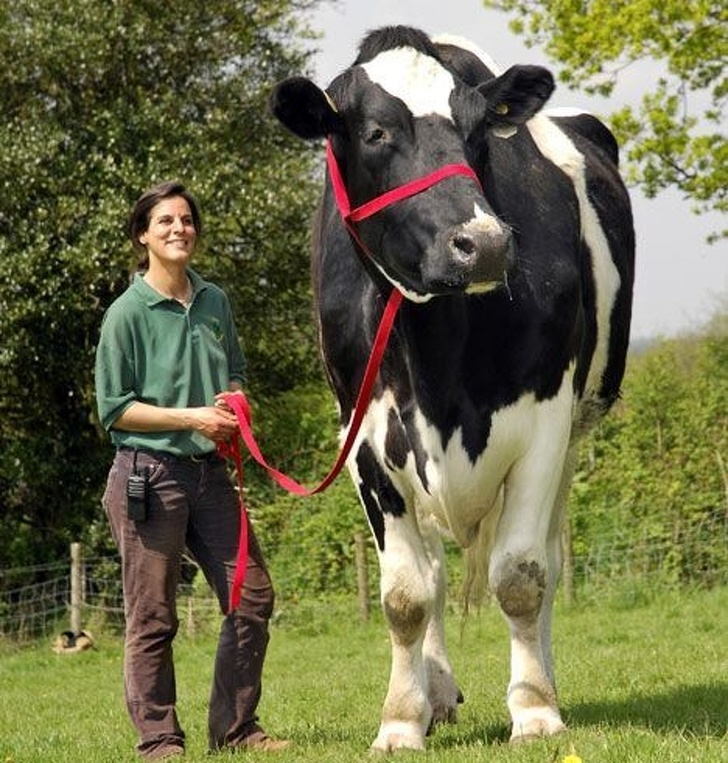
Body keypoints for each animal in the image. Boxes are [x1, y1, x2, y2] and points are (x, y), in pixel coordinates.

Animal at [270, 25, 636, 752]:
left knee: (546, 558)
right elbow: (406, 595)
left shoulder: (546, 419)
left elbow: (522, 575)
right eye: (376, 133)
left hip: (575, 434)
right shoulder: (362, 438)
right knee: (436, 576)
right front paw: (400, 720)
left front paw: (536, 709)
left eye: (479, 133)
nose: (484, 244)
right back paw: (435, 693)